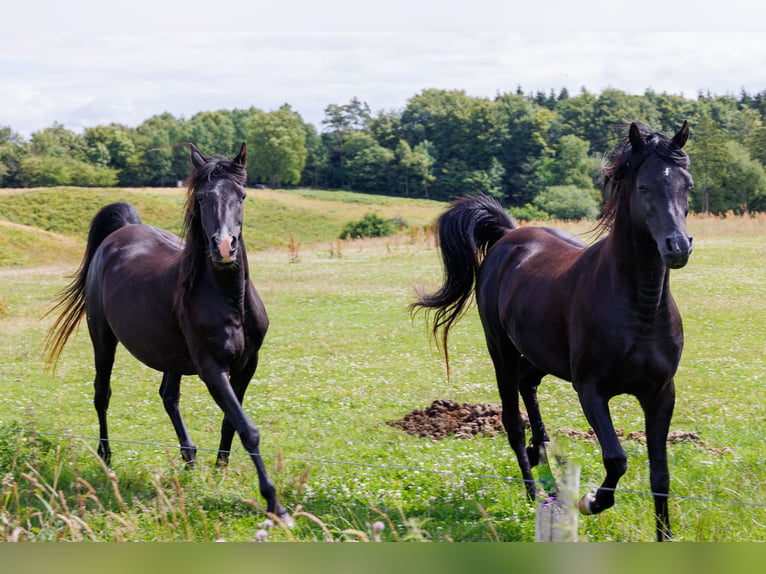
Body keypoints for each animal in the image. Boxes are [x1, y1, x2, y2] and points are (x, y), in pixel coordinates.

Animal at [44, 142, 290, 522]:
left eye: (243, 196)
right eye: (201, 198)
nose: (224, 247)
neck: (229, 298)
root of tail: (122, 232)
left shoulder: (249, 365)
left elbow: (231, 422)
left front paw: (219, 472)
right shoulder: (212, 369)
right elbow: (247, 428)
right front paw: (274, 502)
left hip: (170, 354)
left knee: (168, 396)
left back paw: (189, 458)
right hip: (103, 337)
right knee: (102, 393)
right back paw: (107, 458)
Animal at [412, 122, 692, 541]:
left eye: (686, 184)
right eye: (644, 187)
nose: (678, 246)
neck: (639, 307)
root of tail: (508, 236)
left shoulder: (660, 393)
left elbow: (661, 476)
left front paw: (665, 537)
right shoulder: (590, 389)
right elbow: (616, 458)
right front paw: (590, 501)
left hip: (540, 354)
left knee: (528, 385)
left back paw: (540, 451)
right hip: (501, 351)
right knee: (512, 421)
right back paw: (534, 490)